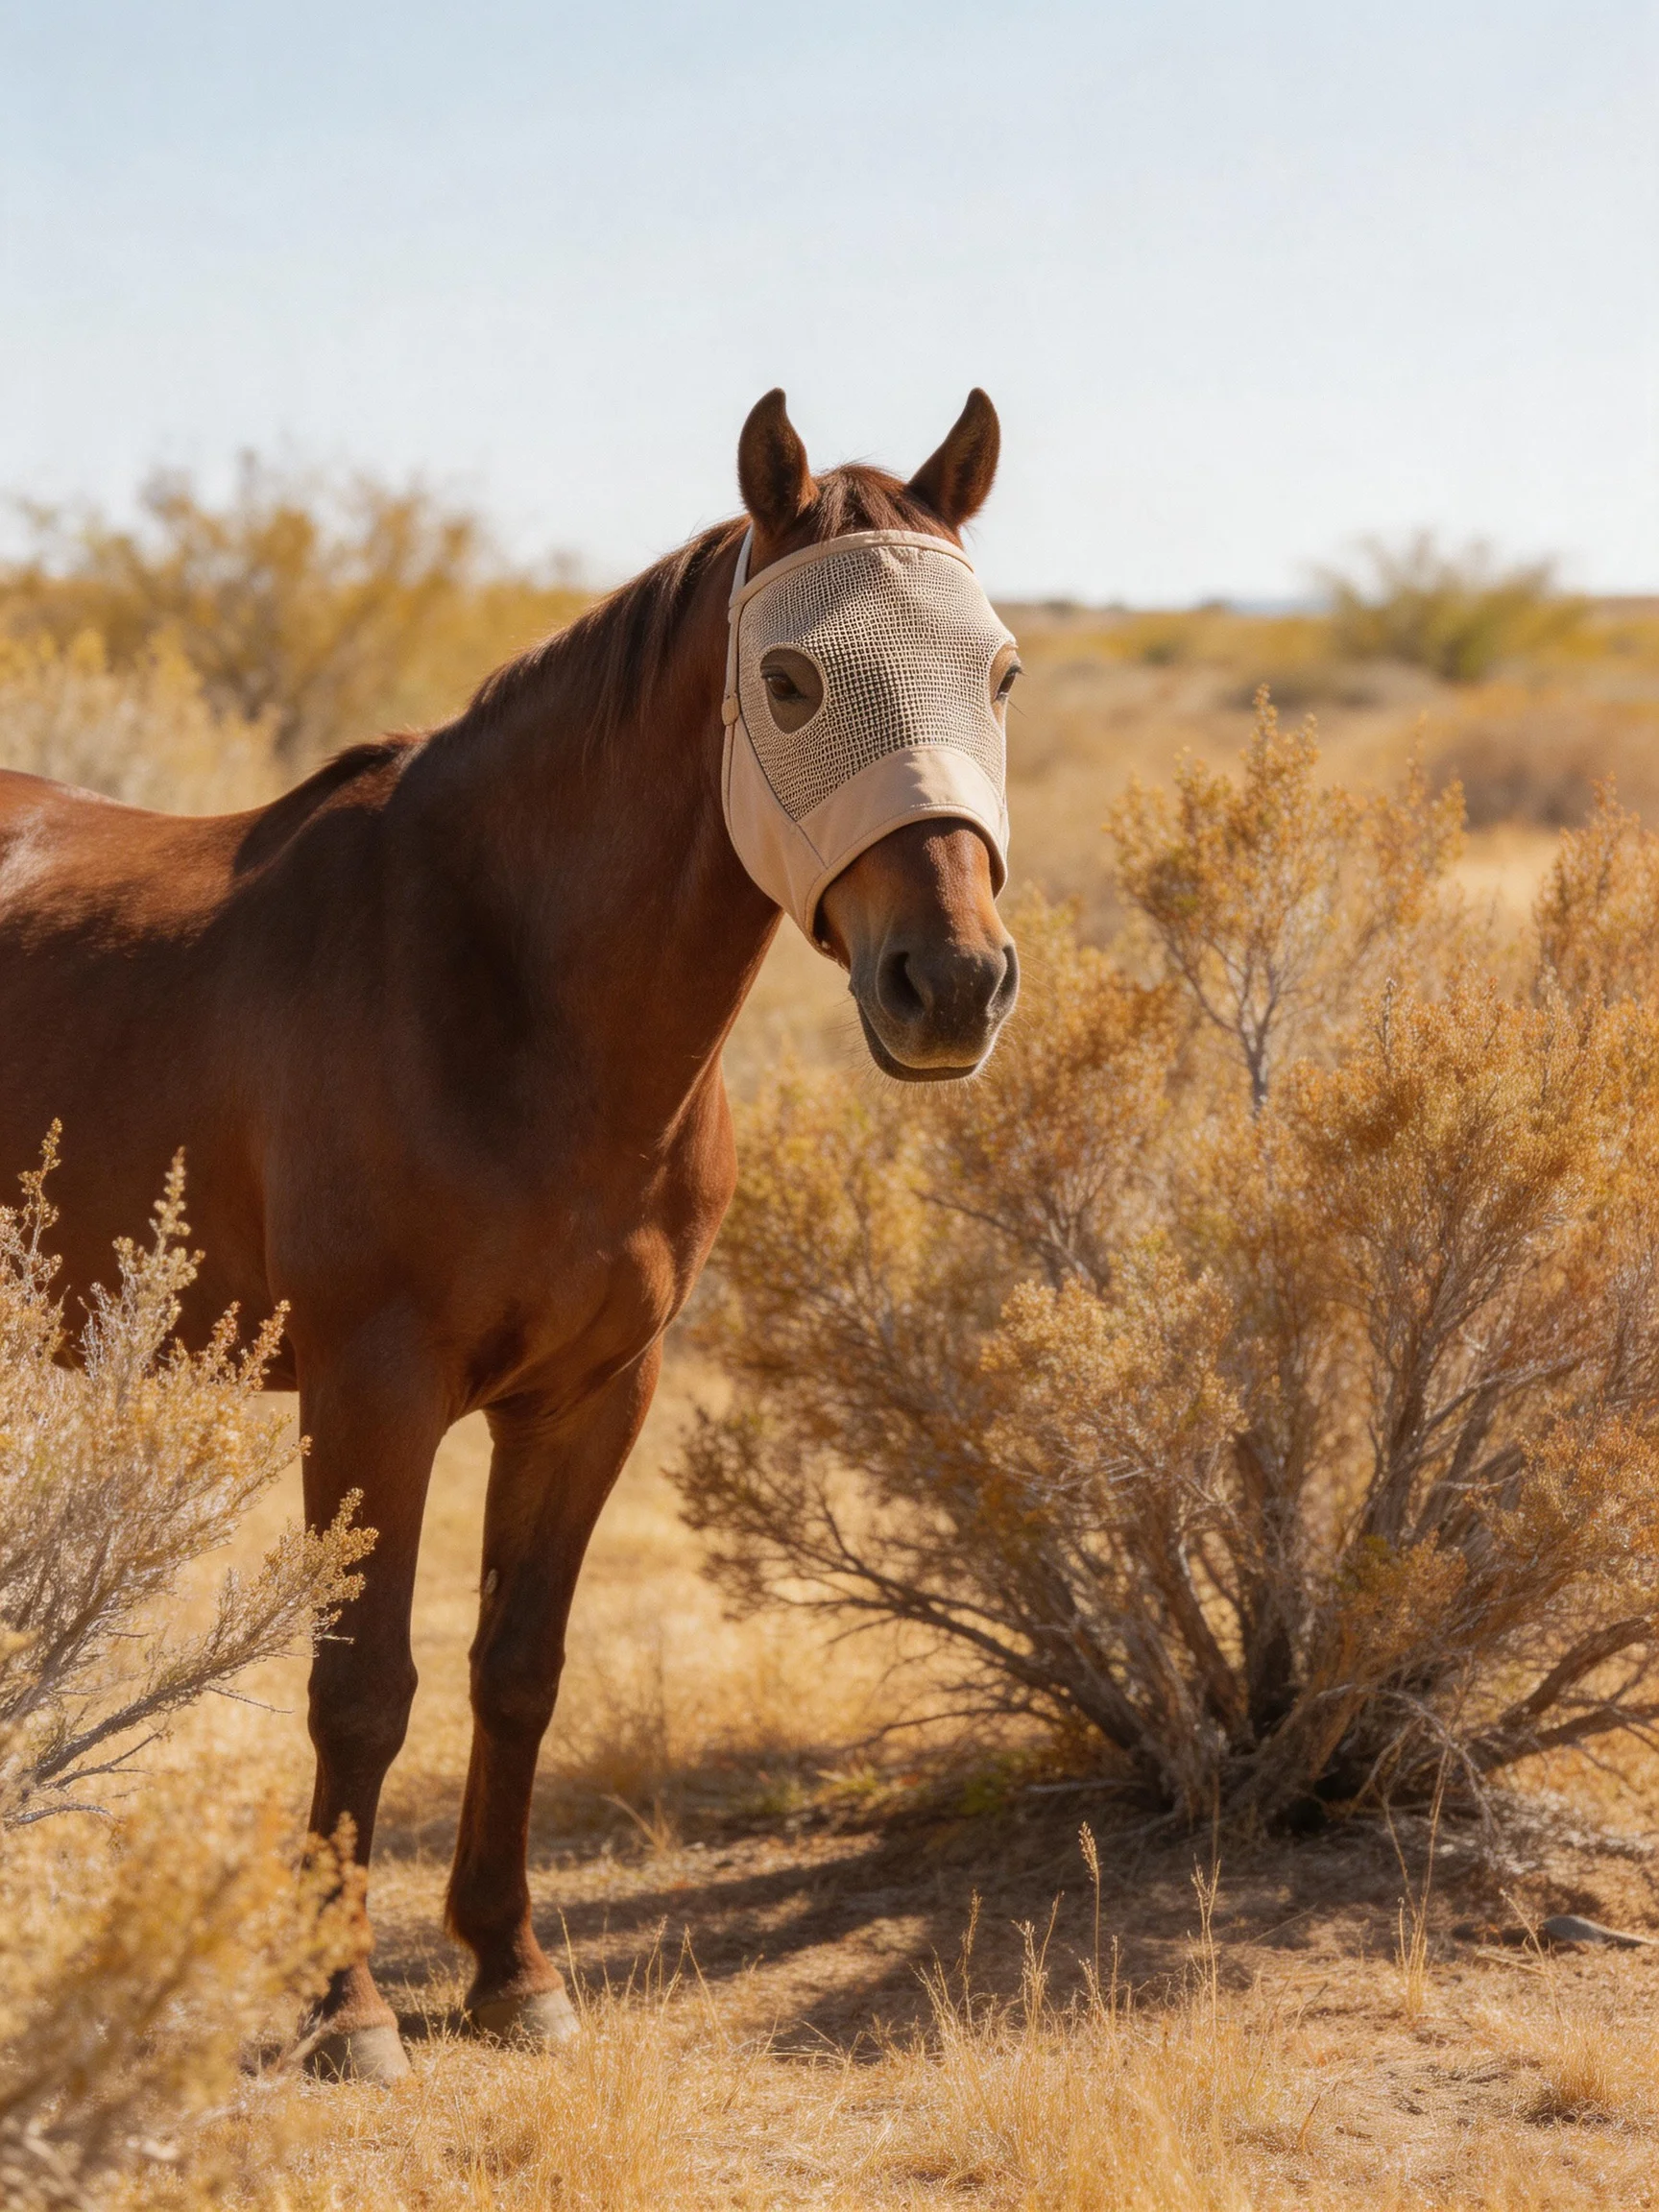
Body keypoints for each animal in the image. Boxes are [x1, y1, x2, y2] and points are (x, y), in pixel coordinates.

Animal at [0, 390, 1019, 2080]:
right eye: (790, 682)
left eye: (999, 673)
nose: (950, 985)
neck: (507, 990)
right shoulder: (371, 1395)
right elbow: (362, 1686)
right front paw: (343, 2007)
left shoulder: (594, 1394)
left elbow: (517, 1672)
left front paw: (510, 1970)